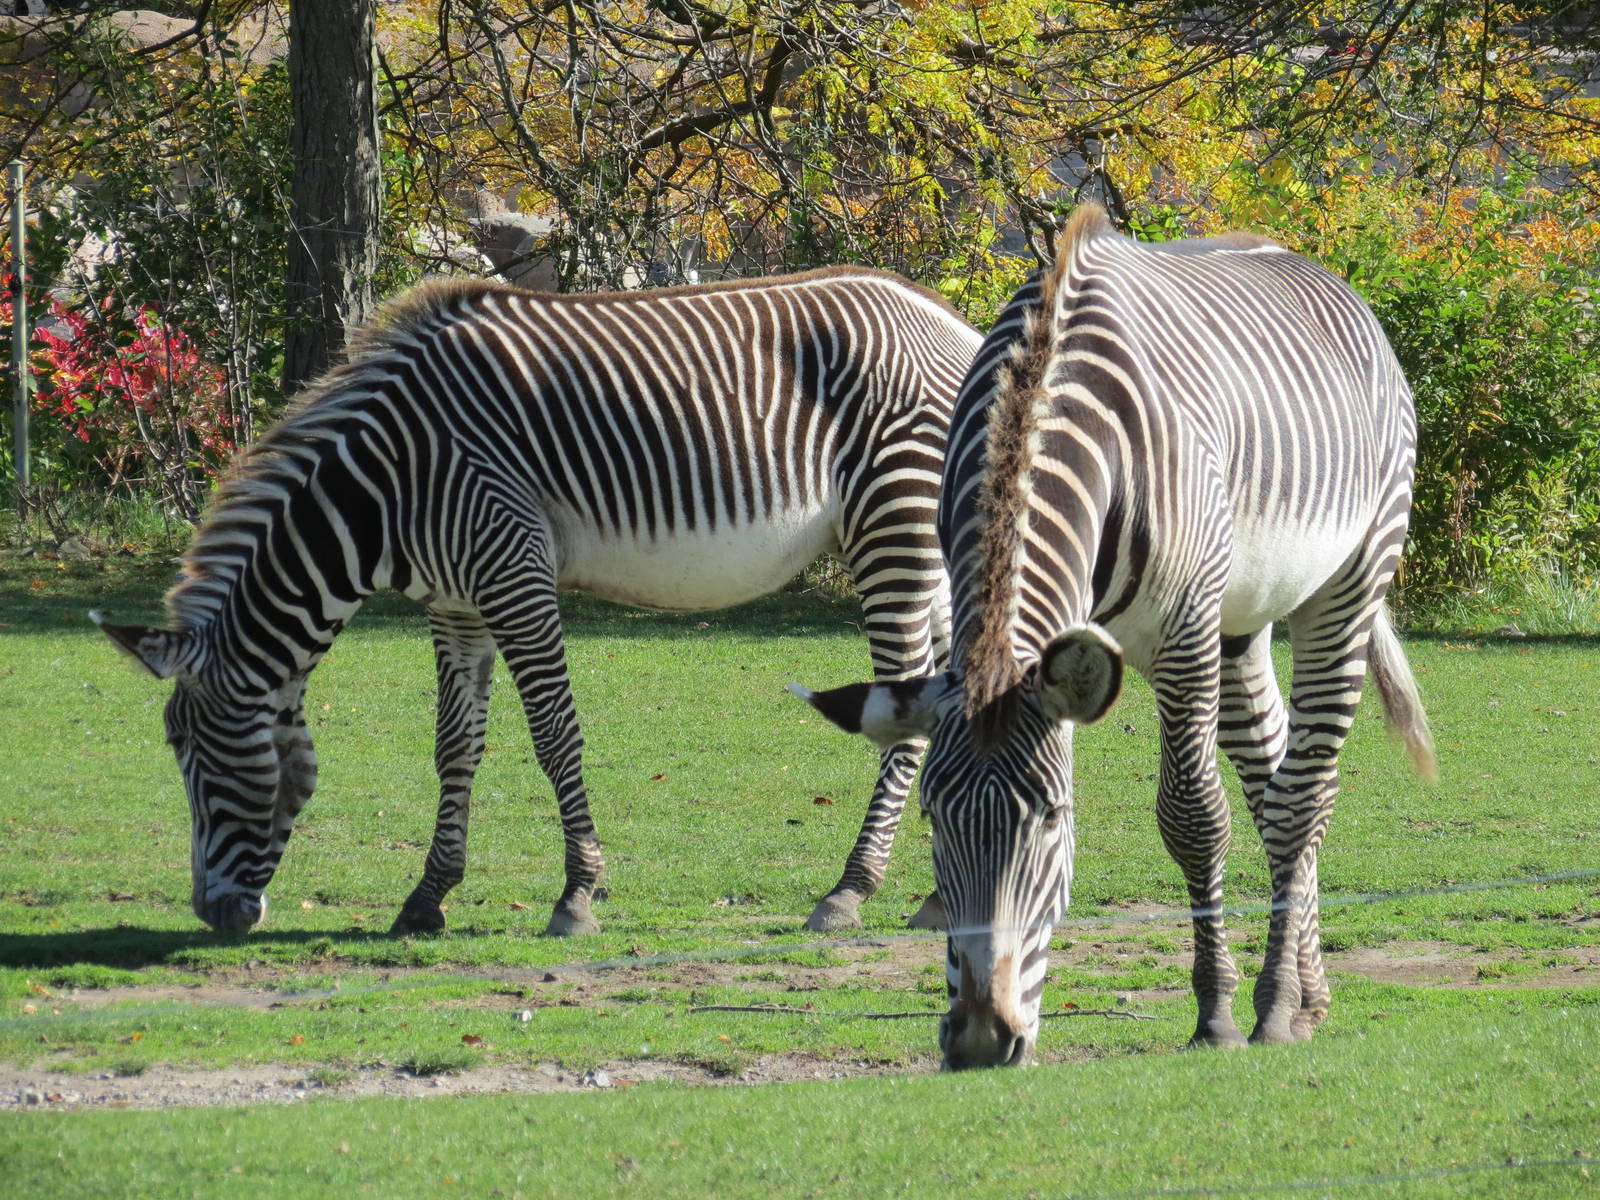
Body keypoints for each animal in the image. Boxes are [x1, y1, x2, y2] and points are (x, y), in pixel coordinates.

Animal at [93, 269, 981, 938]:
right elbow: (455, 745)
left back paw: (850, 889)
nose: (213, 915)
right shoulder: (454, 603)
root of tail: (957, 325)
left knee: (904, 707)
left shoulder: (512, 572)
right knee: (942, 690)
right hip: (933, 544)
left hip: (893, 523)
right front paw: (427, 897)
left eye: (190, 754)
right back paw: (942, 892)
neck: (386, 485)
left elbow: (556, 735)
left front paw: (577, 895)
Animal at [793, 204, 1436, 1068]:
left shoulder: (1184, 628)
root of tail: (1325, 276)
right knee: (1275, 783)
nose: (980, 1041)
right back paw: (1309, 999)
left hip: (1346, 582)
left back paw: (1274, 1005)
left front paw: (1216, 1013)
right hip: (1241, 622)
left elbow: (1192, 818)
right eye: (933, 819)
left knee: (1304, 796)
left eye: (1053, 817)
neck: (1042, 400)